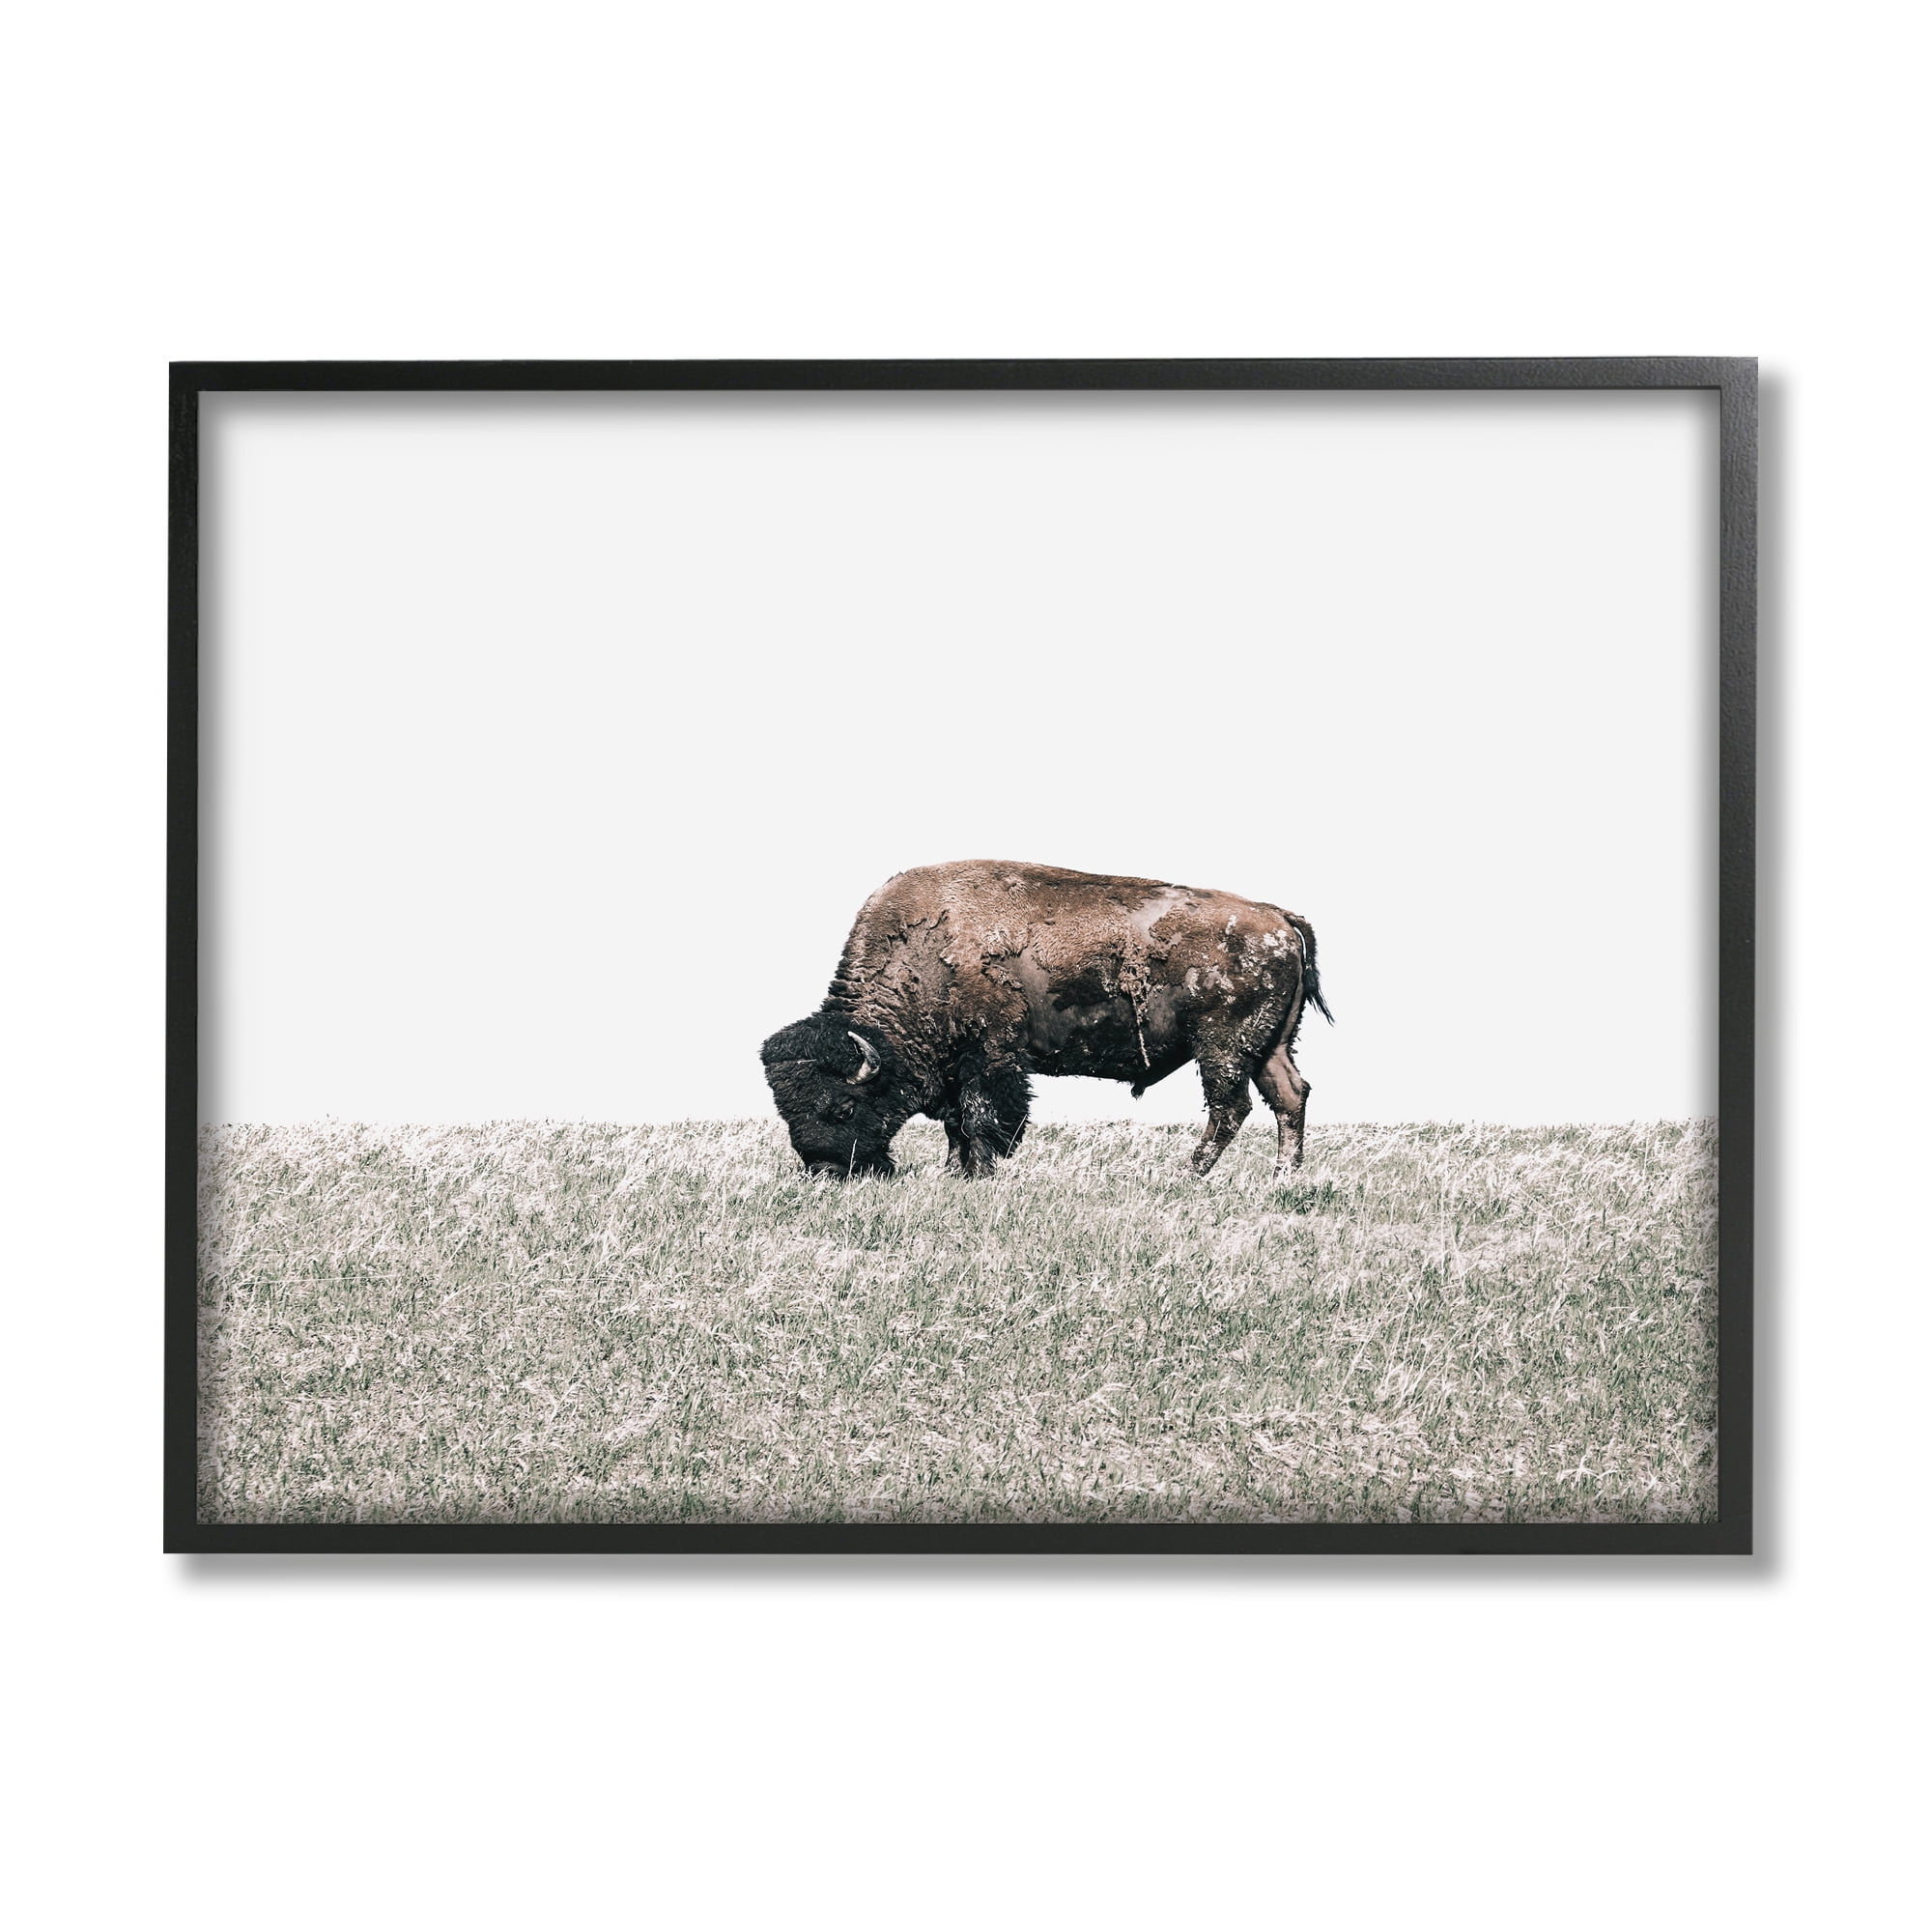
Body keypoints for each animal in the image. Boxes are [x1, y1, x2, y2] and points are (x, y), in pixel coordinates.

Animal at [761, 860, 1331, 1180]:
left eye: (840, 1106)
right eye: (786, 1111)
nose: (826, 1172)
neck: (926, 951)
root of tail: (1278, 917)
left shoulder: (991, 1056)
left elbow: (981, 1117)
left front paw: (980, 1174)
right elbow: (955, 1123)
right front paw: (955, 1172)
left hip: (1223, 1047)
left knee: (1230, 1108)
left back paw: (1187, 1176)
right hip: (1270, 1046)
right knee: (1290, 1097)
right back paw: (1282, 1178)